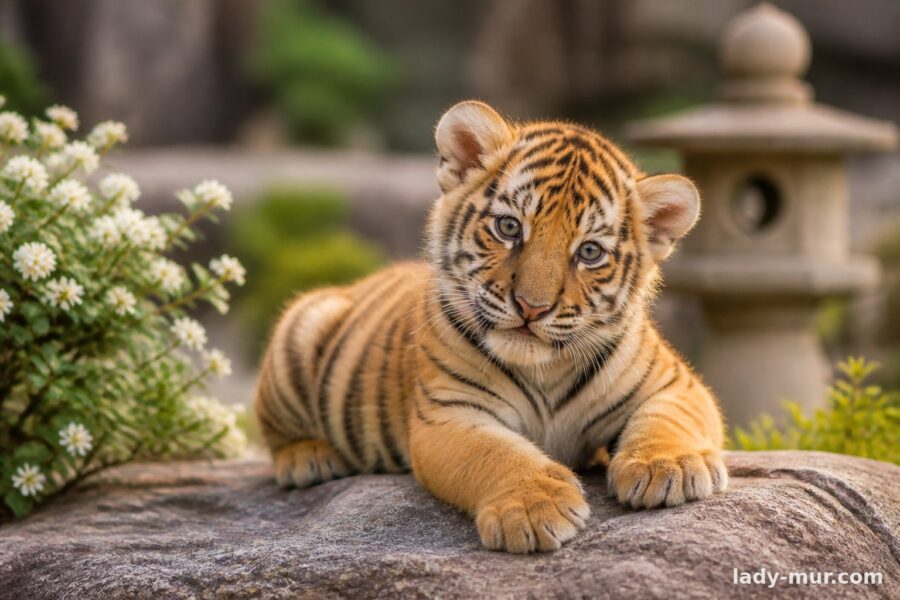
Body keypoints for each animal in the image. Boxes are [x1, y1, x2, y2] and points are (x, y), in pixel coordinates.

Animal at [255, 100, 728, 554]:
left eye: (590, 252)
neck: (545, 370)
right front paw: (534, 508)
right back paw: (311, 458)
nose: (531, 307)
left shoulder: (676, 384)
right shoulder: (448, 413)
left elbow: (668, 420)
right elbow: (494, 454)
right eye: (509, 227)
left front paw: (669, 467)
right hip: (302, 326)